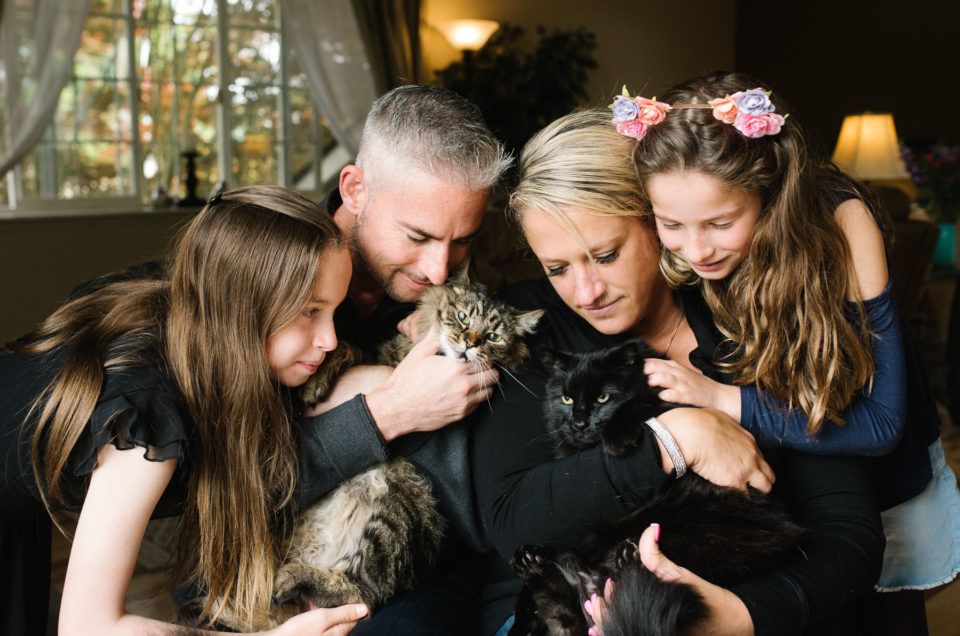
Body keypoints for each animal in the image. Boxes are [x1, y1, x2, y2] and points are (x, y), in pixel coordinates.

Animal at [510, 340, 804, 636]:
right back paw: (532, 563)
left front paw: (618, 439)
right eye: (566, 399)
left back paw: (628, 559)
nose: (579, 423)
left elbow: (638, 403)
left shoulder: (677, 403)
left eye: (603, 398)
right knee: (556, 609)